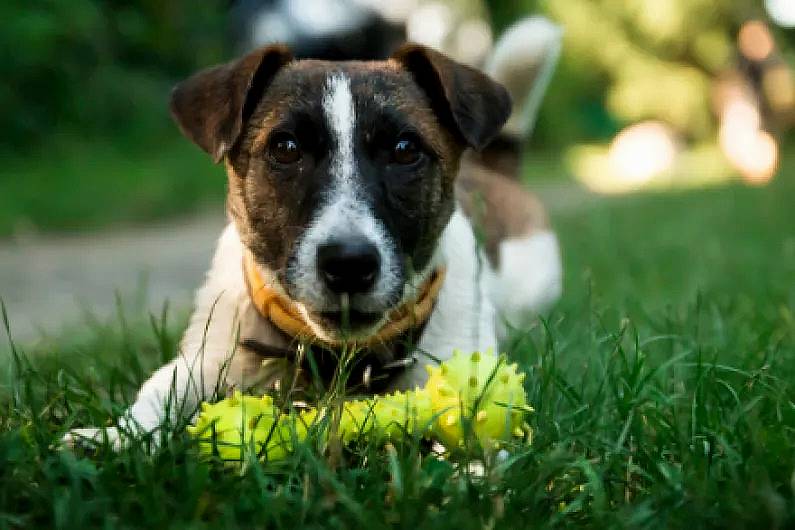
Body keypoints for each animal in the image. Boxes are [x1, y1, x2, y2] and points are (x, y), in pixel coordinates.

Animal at [65, 21, 564, 450]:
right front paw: (114, 437)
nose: (349, 264)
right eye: (286, 147)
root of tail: (494, 169)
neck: (336, 356)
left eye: (405, 150)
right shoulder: (203, 361)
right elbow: (156, 392)